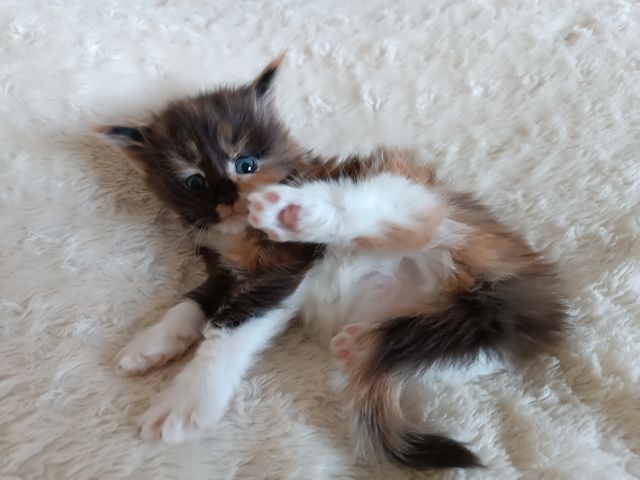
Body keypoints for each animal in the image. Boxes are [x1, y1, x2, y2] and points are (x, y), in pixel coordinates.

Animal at [98, 55, 567, 470]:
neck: (234, 234)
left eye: (245, 164)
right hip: (471, 317)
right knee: (461, 353)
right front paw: (152, 343)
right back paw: (361, 340)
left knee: (411, 217)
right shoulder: (225, 270)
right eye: (194, 181)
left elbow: (231, 324)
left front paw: (187, 401)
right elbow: (195, 300)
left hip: (425, 204)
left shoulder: (286, 267)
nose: (229, 197)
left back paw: (301, 213)